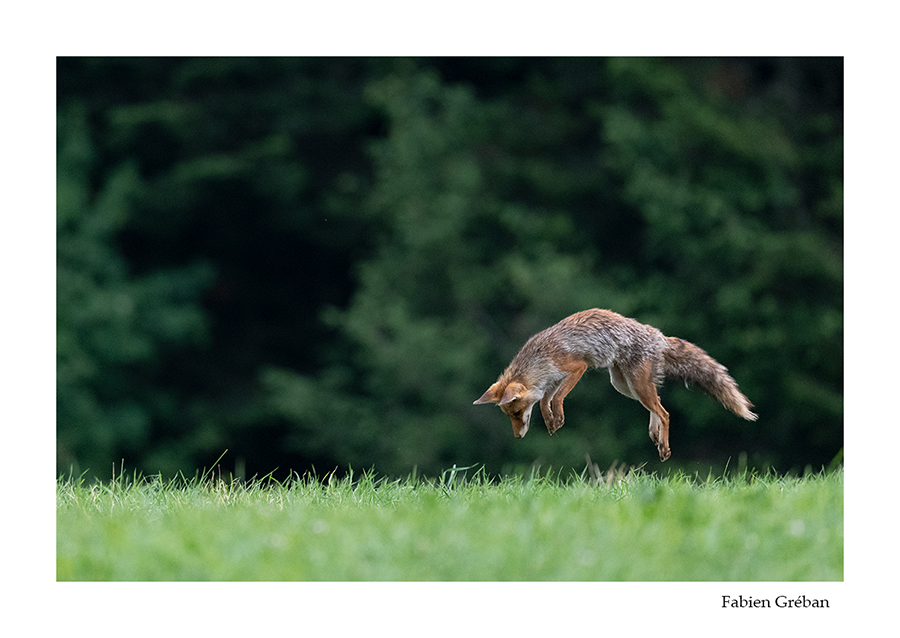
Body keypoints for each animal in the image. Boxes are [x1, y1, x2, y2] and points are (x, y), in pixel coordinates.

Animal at [474, 308, 756, 462]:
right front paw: (552, 422)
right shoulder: (552, 381)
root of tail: (658, 335)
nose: (517, 436)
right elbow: (545, 401)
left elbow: (557, 398)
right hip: (624, 386)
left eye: (517, 413)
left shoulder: (576, 368)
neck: (540, 358)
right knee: (658, 404)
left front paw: (557, 417)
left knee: (665, 412)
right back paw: (655, 434)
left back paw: (664, 446)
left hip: (635, 385)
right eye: (510, 415)